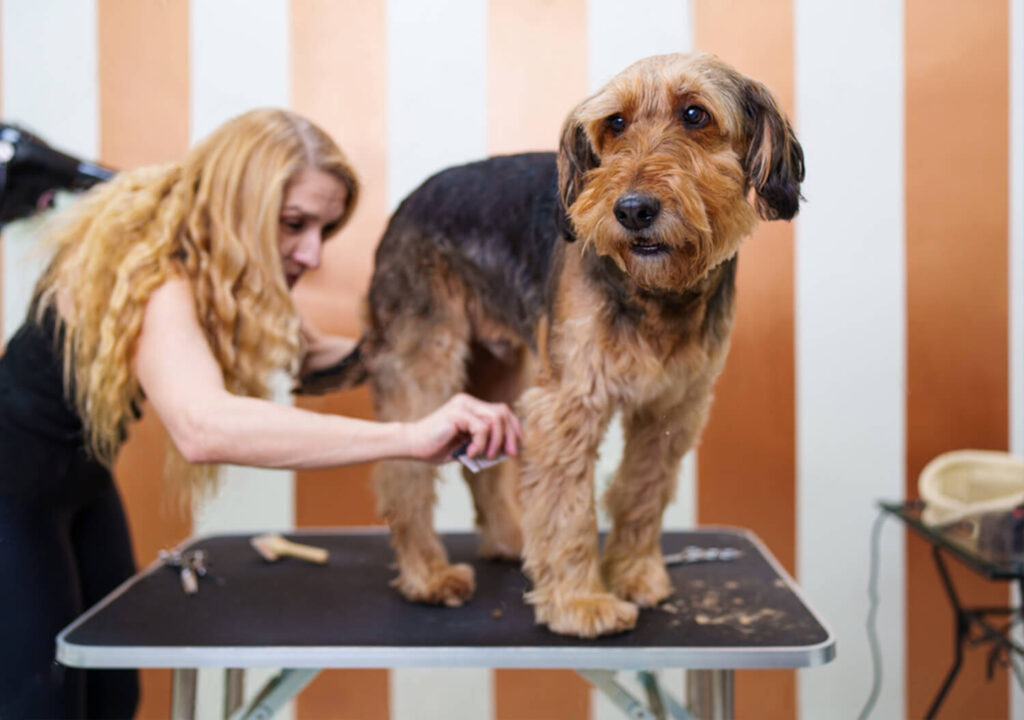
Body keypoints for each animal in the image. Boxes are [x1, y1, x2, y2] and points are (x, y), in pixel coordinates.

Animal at [299, 53, 802, 639]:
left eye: (695, 114)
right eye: (616, 123)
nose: (632, 210)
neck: (657, 292)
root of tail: (404, 206)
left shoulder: (673, 408)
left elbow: (642, 492)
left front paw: (634, 573)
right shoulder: (569, 403)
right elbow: (568, 510)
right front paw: (581, 602)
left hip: (498, 372)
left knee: (485, 473)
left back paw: (509, 542)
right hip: (422, 370)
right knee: (405, 476)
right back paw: (428, 574)